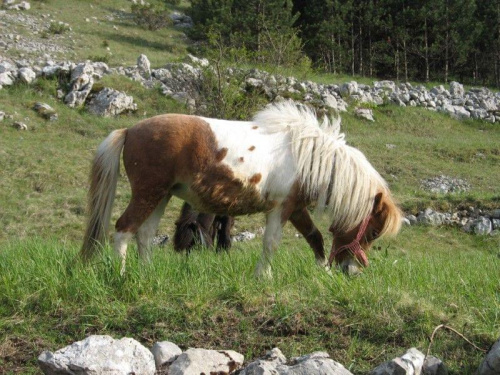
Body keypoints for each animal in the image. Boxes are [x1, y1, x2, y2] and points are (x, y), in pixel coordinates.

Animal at [82, 101, 402, 278]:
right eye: (373, 231)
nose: (352, 271)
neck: (308, 156)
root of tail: (129, 130)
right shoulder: (281, 208)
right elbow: (271, 243)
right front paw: (264, 277)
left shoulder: (296, 208)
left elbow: (315, 238)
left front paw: (321, 272)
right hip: (148, 193)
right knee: (124, 229)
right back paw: (121, 274)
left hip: (161, 196)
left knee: (145, 234)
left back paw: (147, 273)